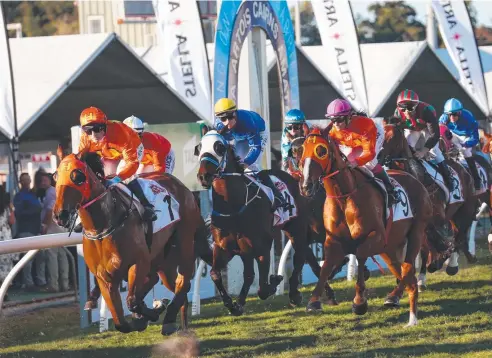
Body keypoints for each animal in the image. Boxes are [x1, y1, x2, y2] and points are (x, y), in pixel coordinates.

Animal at [53, 152, 211, 336]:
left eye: (77, 176)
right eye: (55, 176)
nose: (60, 215)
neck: (104, 225)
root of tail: (184, 188)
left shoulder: (138, 263)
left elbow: (132, 301)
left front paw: (152, 311)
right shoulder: (104, 278)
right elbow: (121, 323)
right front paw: (146, 314)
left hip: (184, 241)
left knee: (183, 282)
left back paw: (169, 320)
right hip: (163, 261)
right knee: (165, 282)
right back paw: (176, 323)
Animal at [300, 127, 430, 326]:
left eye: (321, 150)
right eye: (301, 149)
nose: (306, 186)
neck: (344, 196)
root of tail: (415, 179)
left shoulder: (376, 236)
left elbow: (360, 254)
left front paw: (359, 302)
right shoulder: (333, 240)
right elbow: (325, 267)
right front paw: (314, 301)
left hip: (415, 232)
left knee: (408, 270)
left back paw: (409, 313)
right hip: (389, 247)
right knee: (402, 272)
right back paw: (395, 297)